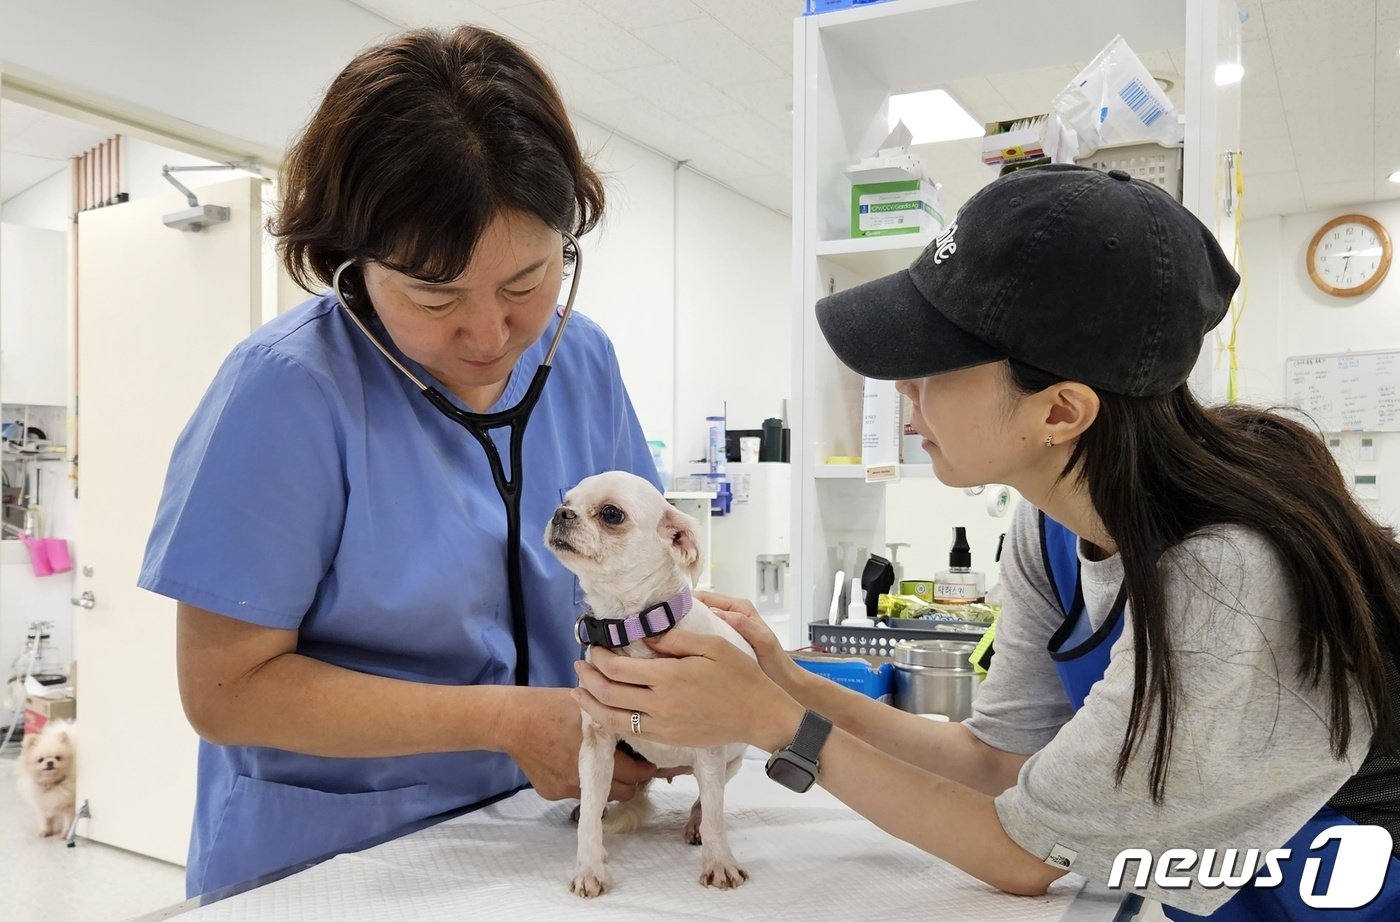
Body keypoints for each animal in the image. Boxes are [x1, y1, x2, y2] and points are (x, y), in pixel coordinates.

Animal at [543, 472, 756, 895]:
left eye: (611, 513)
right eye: (566, 501)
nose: (560, 513)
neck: (630, 625)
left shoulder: (710, 749)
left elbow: (715, 815)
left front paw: (719, 862)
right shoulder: (596, 746)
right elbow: (591, 814)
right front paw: (589, 866)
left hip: (731, 761)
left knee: (707, 802)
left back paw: (694, 824)